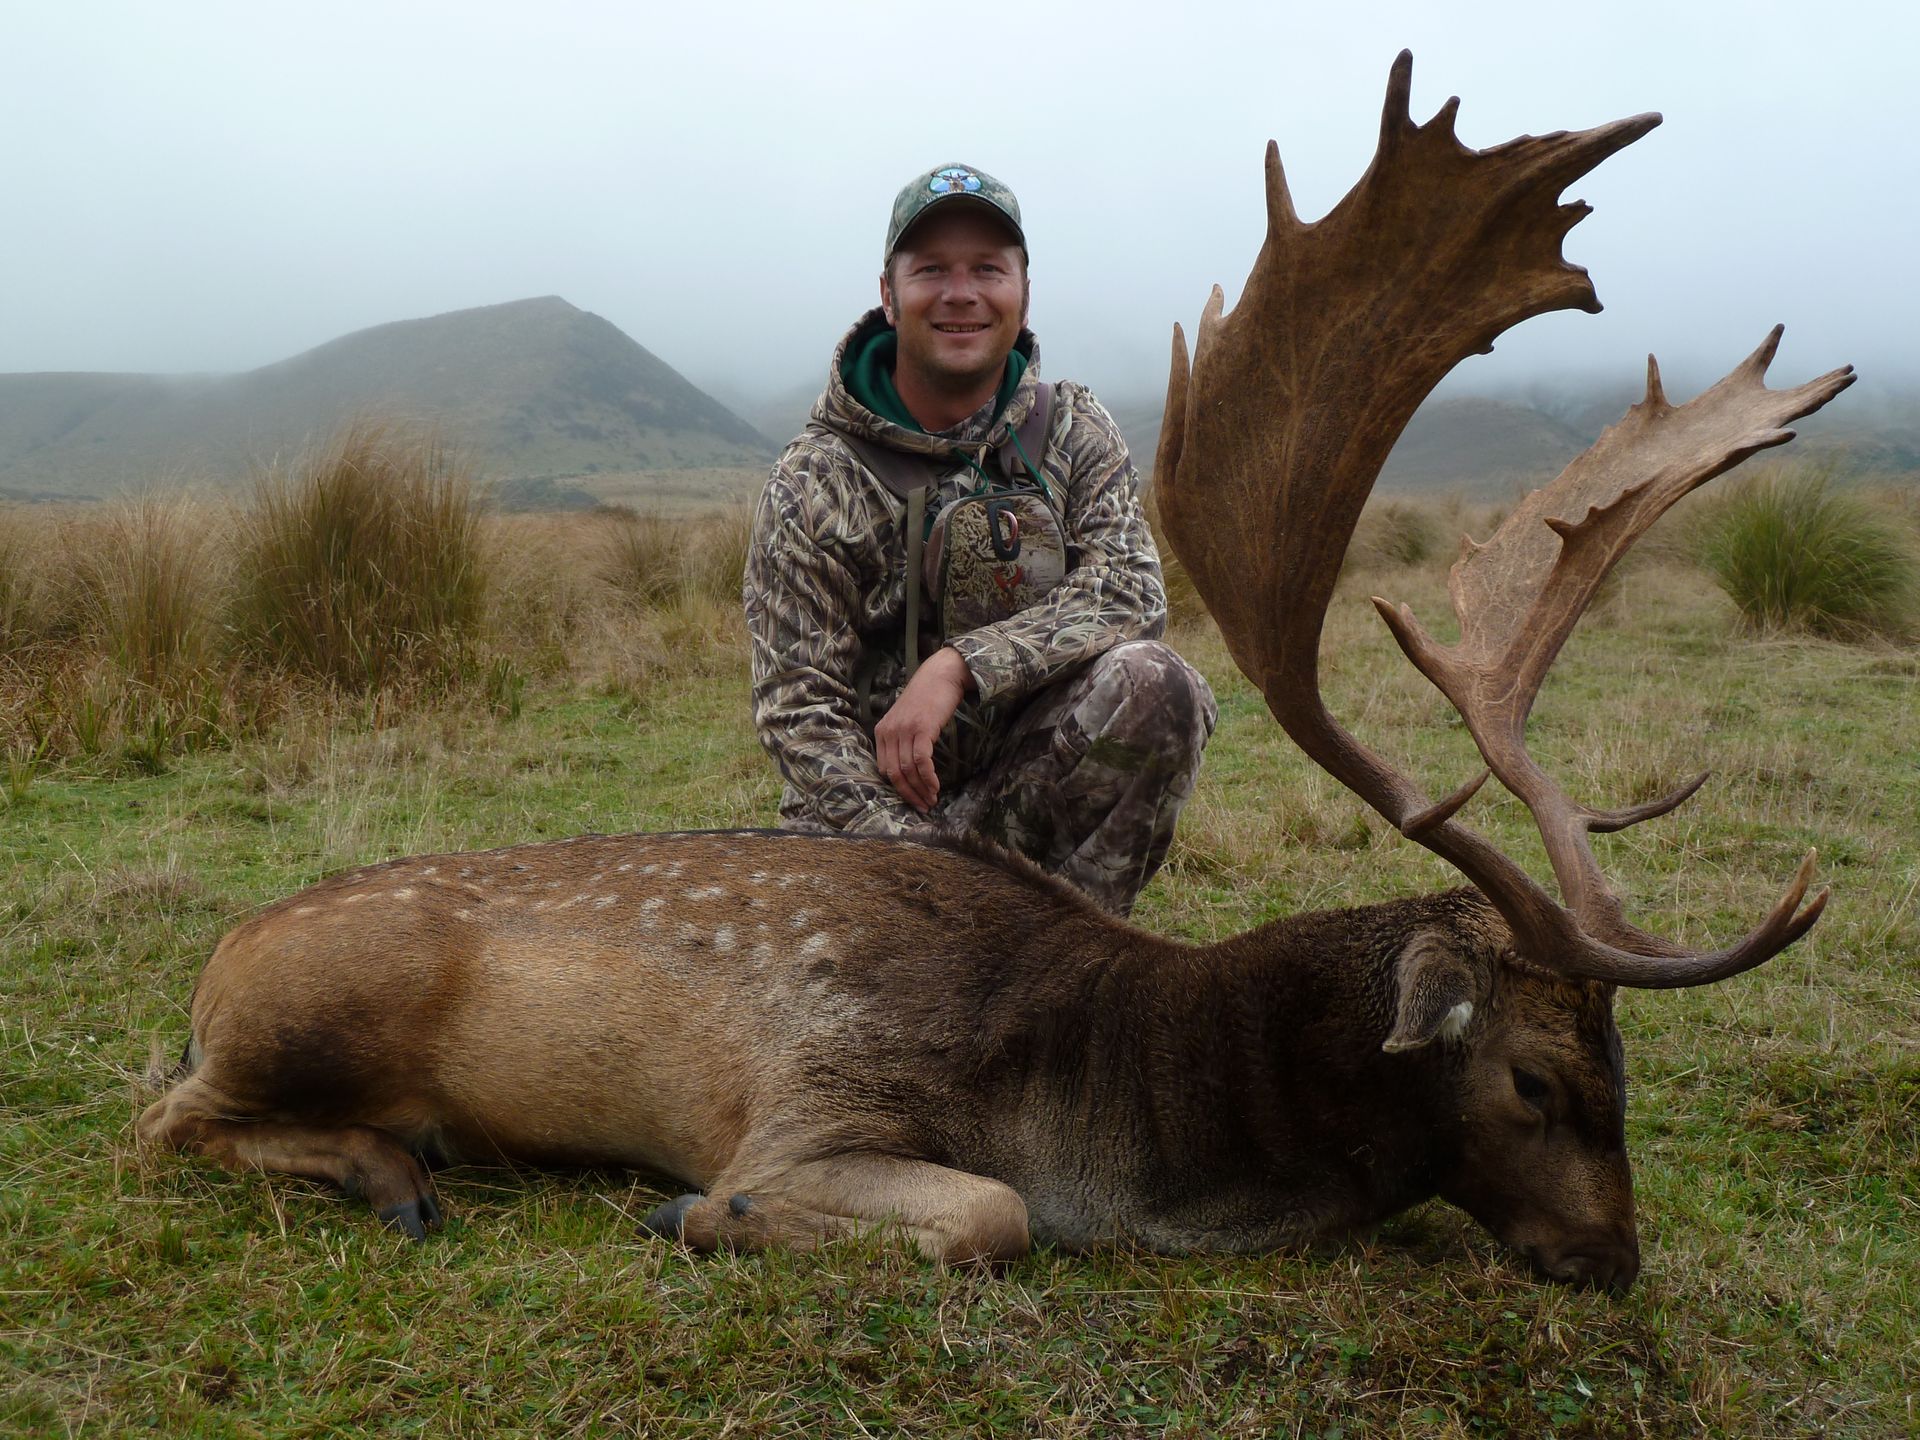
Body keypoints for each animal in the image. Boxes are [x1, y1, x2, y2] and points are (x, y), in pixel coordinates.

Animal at [138, 54, 1852, 1292]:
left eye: (1622, 1065)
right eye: (1538, 1084)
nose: (1614, 1261)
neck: (1116, 1103)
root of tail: (216, 961)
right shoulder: (806, 1109)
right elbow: (981, 1219)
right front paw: (682, 1218)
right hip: (316, 1011)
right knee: (165, 1119)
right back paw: (394, 1170)